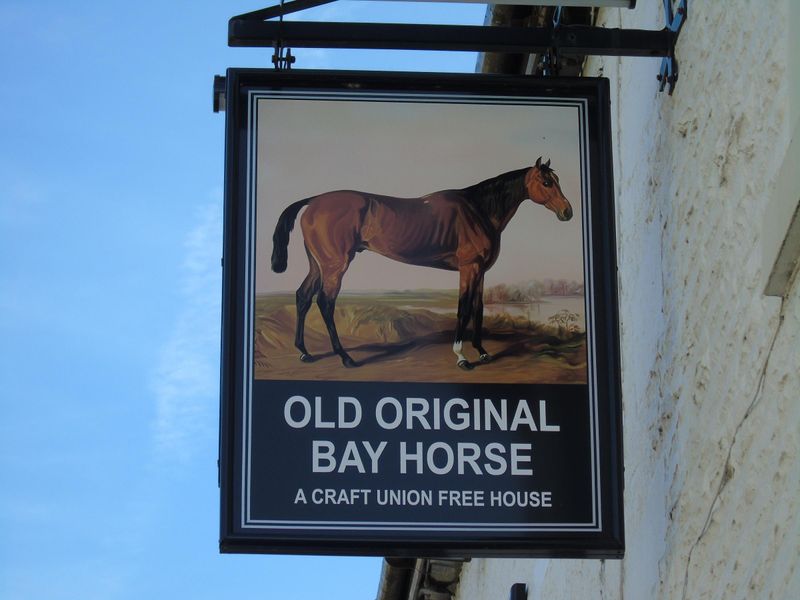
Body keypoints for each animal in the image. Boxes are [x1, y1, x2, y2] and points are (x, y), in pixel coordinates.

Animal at [272, 157, 572, 368]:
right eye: (547, 183)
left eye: (557, 180)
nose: (567, 212)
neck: (478, 210)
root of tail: (313, 201)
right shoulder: (469, 268)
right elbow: (463, 309)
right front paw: (462, 357)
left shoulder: (481, 271)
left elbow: (478, 309)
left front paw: (483, 352)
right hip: (335, 265)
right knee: (325, 302)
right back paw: (345, 357)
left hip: (317, 264)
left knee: (303, 296)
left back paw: (305, 352)